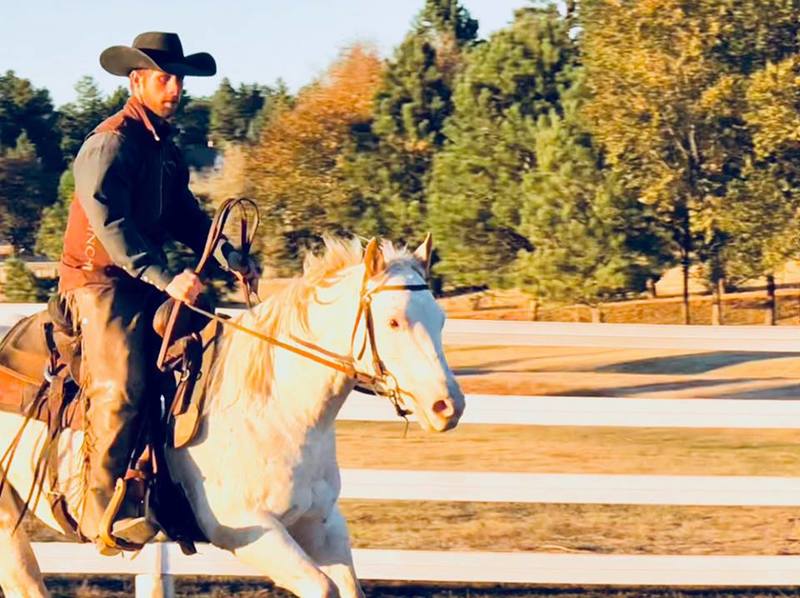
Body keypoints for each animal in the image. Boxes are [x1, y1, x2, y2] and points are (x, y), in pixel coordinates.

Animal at [0, 237, 466, 596]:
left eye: (441, 319)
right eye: (393, 321)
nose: (448, 405)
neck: (275, 408)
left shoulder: (320, 524)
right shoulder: (247, 529)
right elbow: (322, 587)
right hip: (7, 522)